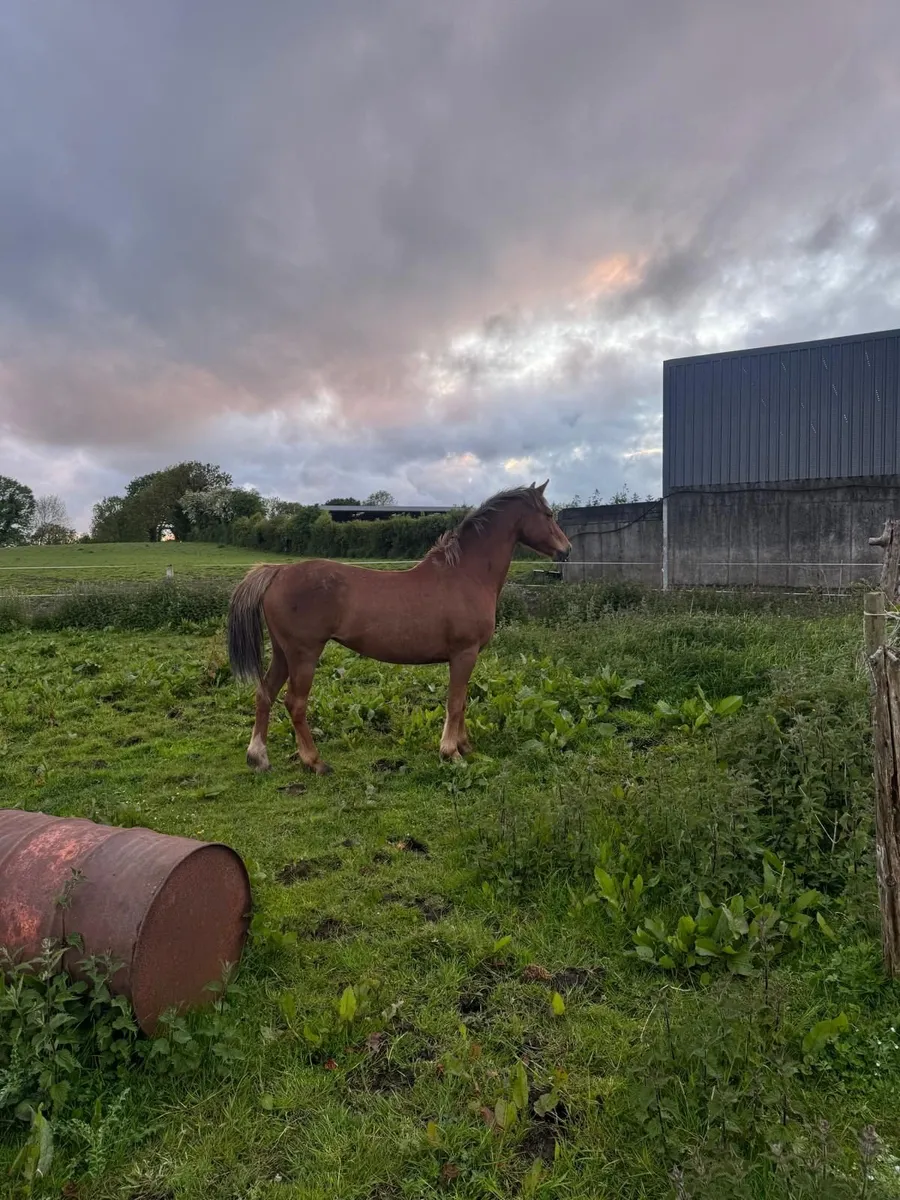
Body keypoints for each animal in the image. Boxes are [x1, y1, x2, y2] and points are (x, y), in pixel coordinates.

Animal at [226, 480, 571, 774]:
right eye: (548, 514)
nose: (566, 550)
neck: (465, 574)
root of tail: (278, 571)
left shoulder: (467, 657)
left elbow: (461, 702)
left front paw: (465, 746)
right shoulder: (464, 654)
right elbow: (455, 702)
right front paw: (452, 752)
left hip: (283, 653)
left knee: (265, 694)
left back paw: (258, 757)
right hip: (304, 654)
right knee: (294, 704)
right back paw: (315, 762)